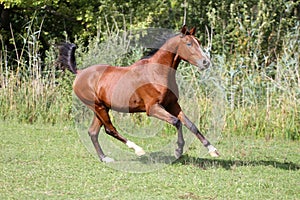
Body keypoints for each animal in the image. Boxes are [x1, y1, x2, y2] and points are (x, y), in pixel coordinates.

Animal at [58, 25, 219, 162]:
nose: (206, 62)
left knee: (93, 132)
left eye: (198, 42)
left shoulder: (172, 104)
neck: (157, 72)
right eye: (189, 44)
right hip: (98, 107)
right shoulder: (153, 108)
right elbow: (176, 122)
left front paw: (213, 150)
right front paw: (178, 150)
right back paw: (138, 150)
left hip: (102, 108)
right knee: (110, 129)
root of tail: (80, 73)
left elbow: (190, 124)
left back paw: (105, 158)